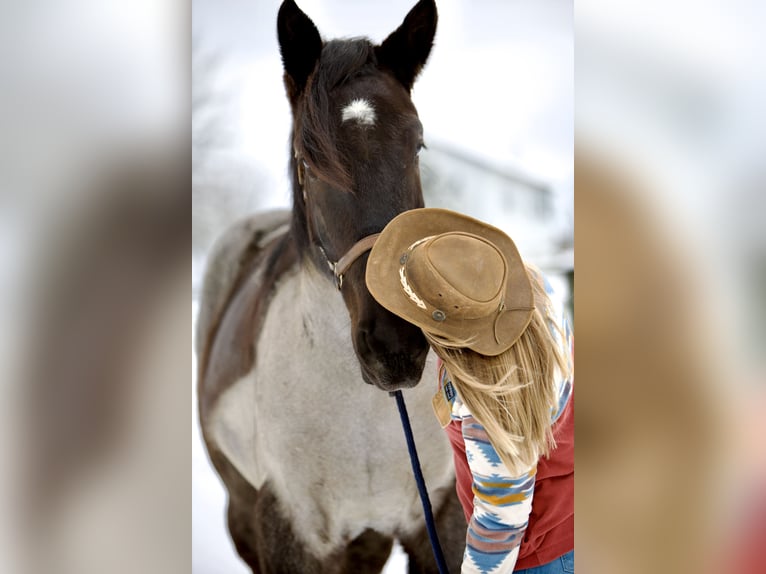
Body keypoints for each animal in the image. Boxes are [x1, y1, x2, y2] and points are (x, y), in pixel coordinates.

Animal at [195, 1, 464, 572]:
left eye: (417, 144)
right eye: (307, 156)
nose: (394, 344)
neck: (367, 415)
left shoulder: (441, 518)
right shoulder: (289, 531)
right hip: (241, 510)